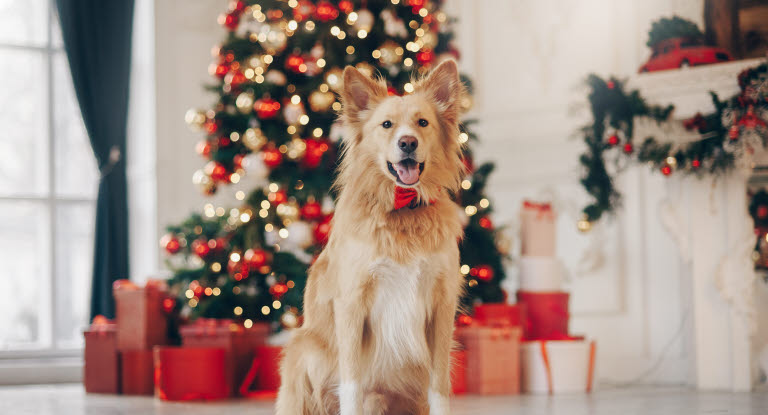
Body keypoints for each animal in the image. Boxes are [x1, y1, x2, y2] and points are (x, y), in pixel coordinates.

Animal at [278, 59, 464, 415]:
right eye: (386, 125)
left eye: (423, 122)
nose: (408, 143)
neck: (402, 211)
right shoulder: (352, 302)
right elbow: (351, 385)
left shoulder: (441, 303)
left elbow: (440, 386)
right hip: (303, 351)